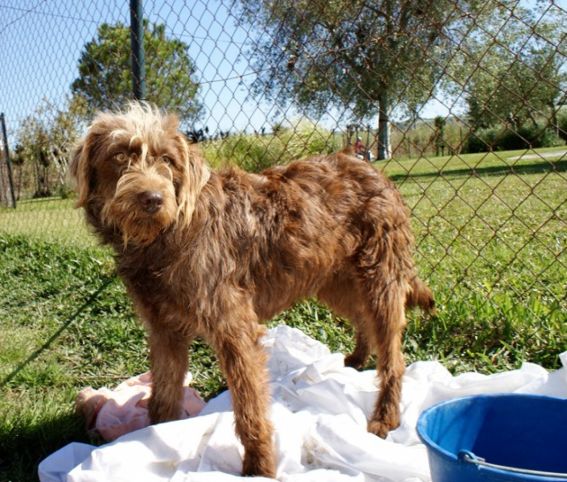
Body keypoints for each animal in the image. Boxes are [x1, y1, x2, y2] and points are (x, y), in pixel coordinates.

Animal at [71, 103, 434, 476]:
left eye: (168, 160)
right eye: (118, 155)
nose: (152, 199)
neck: (166, 237)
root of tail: (373, 170)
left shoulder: (234, 329)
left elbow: (249, 407)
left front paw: (259, 467)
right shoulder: (164, 330)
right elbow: (163, 396)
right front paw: (152, 436)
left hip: (380, 278)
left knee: (394, 357)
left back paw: (385, 417)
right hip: (334, 280)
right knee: (363, 319)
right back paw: (357, 360)